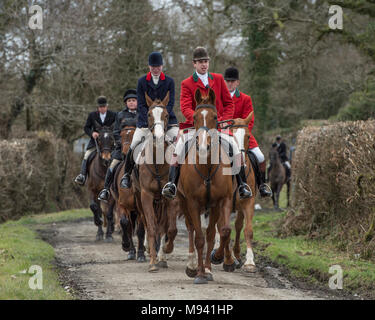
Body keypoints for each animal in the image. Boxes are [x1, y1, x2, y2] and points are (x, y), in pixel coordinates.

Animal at [111, 124, 146, 262]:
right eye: (121, 135)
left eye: (133, 135)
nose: (125, 153)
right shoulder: (122, 205)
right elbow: (125, 224)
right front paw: (127, 247)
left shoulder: (141, 209)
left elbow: (140, 230)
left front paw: (141, 254)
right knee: (129, 226)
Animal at [132, 92, 179, 272]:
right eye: (148, 115)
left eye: (166, 115)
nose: (158, 137)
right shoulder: (146, 196)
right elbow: (151, 227)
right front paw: (152, 261)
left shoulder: (169, 197)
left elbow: (169, 229)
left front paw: (165, 252)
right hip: (139, 199)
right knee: (146, 223)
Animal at [179, 88, 235, 284]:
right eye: (195, 117)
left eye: (215, 117)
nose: (203, 148)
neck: (207, 165)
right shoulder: (193, 203)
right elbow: (200, 239)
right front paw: (200, 274)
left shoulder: (221, 202)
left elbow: (220, 232)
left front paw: (214, 261)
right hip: (183, 202)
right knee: (191, 230)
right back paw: (192, 266)